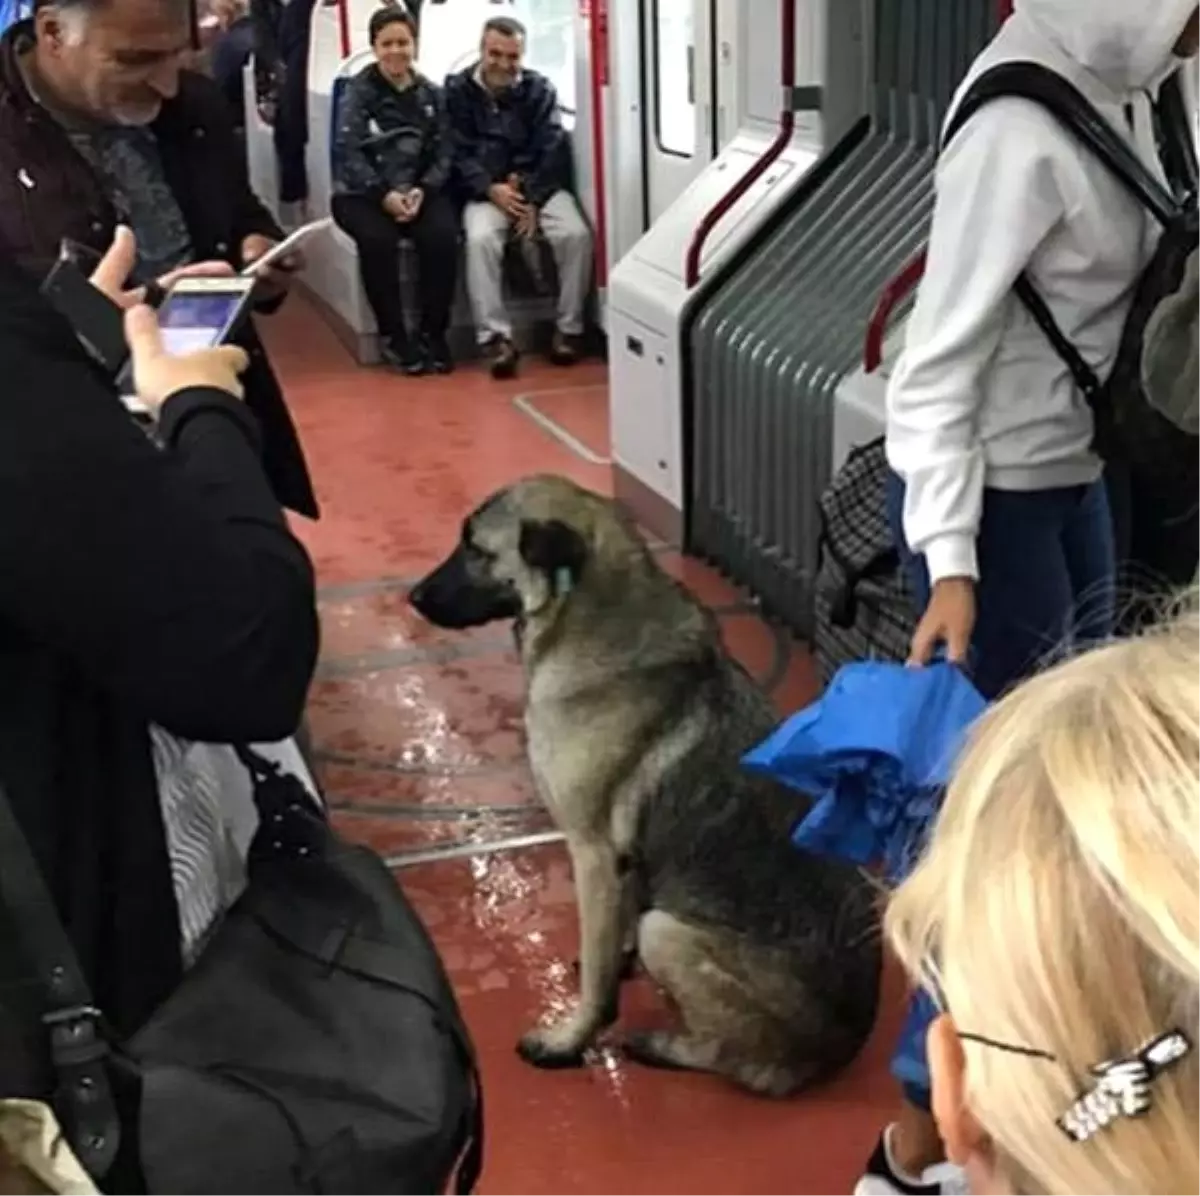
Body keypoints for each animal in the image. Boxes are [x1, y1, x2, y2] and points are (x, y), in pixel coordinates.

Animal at [410, 472, 883, 1094]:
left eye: (476, 549)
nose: (413, 597)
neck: (580, 611)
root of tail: (848, 1045)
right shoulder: (622, 861)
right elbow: (614, 932)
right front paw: (617, 958)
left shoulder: (592, 853)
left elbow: (597, 982)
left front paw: (571, 1040)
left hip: (672, 934)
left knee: (744, 1064)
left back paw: (662, 1046)